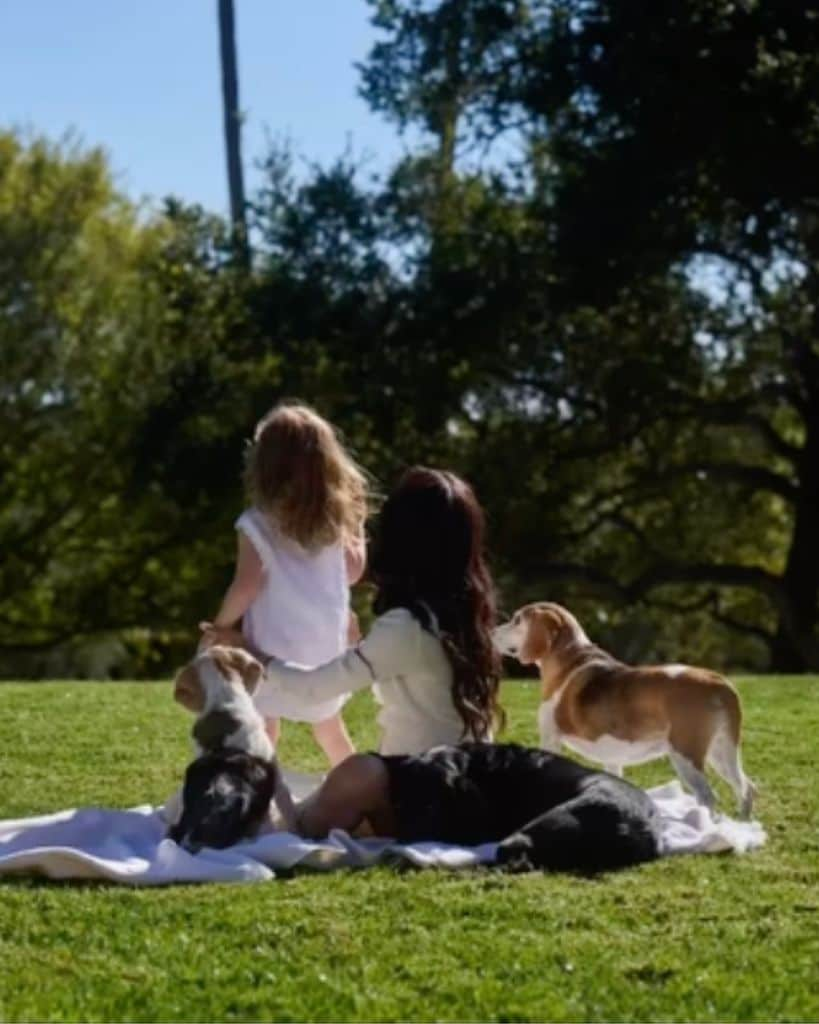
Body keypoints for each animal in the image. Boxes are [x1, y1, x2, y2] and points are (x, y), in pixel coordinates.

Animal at [493, 602, 753, 819]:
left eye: (517, 620)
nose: (492, 631)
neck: (570, 660)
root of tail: (719, 681)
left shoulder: (550, 739)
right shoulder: (612, 759)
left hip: (686, 755)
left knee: (709, 796)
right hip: (721, 753)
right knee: (746, 787)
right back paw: (744, 824)